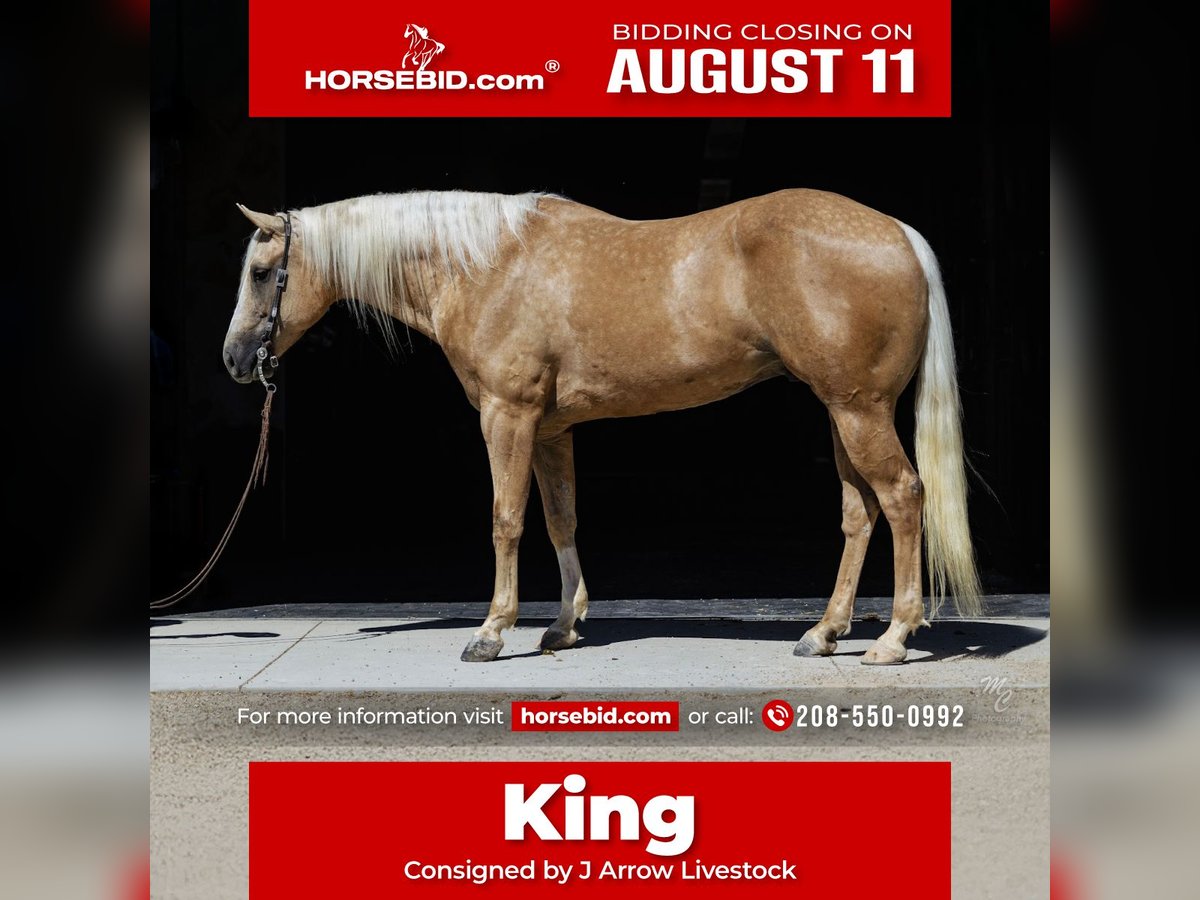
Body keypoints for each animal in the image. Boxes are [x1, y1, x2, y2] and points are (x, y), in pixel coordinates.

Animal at [223, 190, 982, 665]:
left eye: (262, 272)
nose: (234, 358)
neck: (487, 265)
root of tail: (899, 234)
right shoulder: (551, 430)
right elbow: (561, 519)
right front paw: (562, 626)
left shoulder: (508, 416)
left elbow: (506, 520)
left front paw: (491, 632)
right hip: (842, 411)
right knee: (860, 512)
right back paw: (823, 632)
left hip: (859, 410)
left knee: (903, 499)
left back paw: (892, 639)